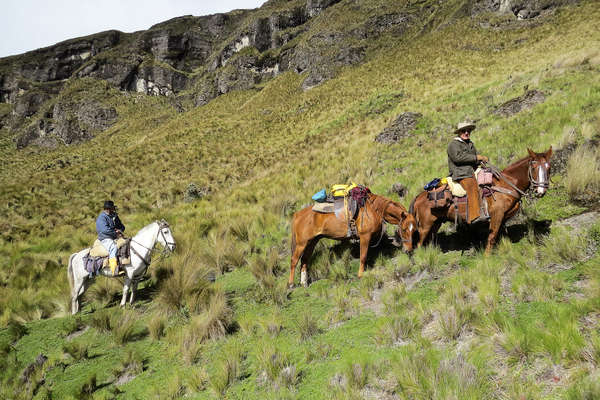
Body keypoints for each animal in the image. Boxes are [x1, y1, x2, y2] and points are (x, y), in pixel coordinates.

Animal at [410, 147, 556, 253]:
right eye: (534, 168)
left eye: (549, 168)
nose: (541, 191)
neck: (505, 184)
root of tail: (418, 197)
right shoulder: (496, 215)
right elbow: (492, 237)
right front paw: (487, 256)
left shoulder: (503, 217)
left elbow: (501, 234)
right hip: (425, 226)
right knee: (419, 243)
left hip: (435, 223)